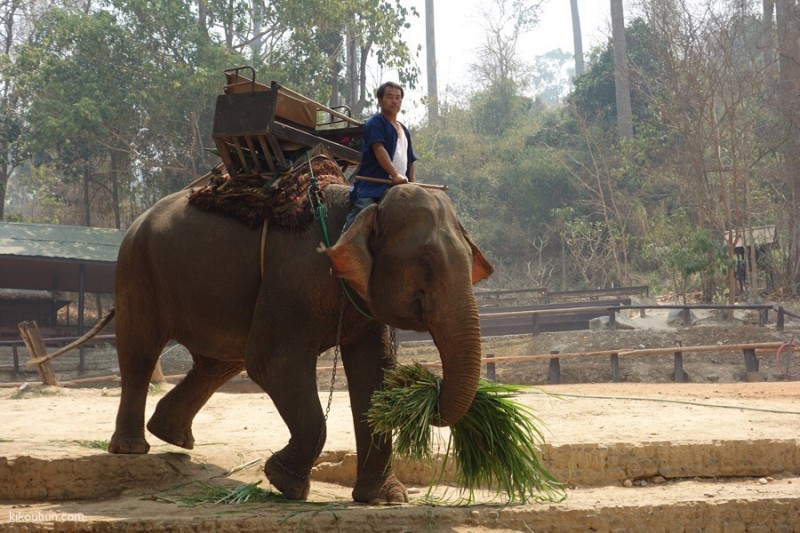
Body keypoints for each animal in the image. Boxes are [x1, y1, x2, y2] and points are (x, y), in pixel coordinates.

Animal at [108, 181, 493, 504]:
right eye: (425, 263)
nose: (428, 386)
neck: (365, 206)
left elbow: (374, 374)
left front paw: (385, 499)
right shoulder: (294, 282)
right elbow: (272, 362)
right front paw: (285, 483)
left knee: (218, 363)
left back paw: (172, 436)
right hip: (136, 268)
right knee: (140, 352)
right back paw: (131, 448)